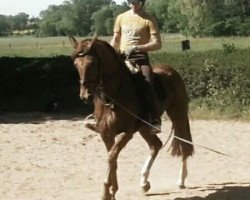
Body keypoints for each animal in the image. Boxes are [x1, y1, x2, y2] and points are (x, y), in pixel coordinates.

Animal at [69, 36, 194, 200]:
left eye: (93, 63)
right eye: (76, 64)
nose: (85, 96)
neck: (113, 97)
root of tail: (171, 71)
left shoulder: (126, 133)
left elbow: (111, 156)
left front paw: (106, 192)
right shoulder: (106, 134)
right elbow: (112, 158)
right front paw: (113, 190)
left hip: (178, 114)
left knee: (183, 143)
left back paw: (181, 180)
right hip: (145, 128)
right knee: (156, 145)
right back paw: (144, 182)